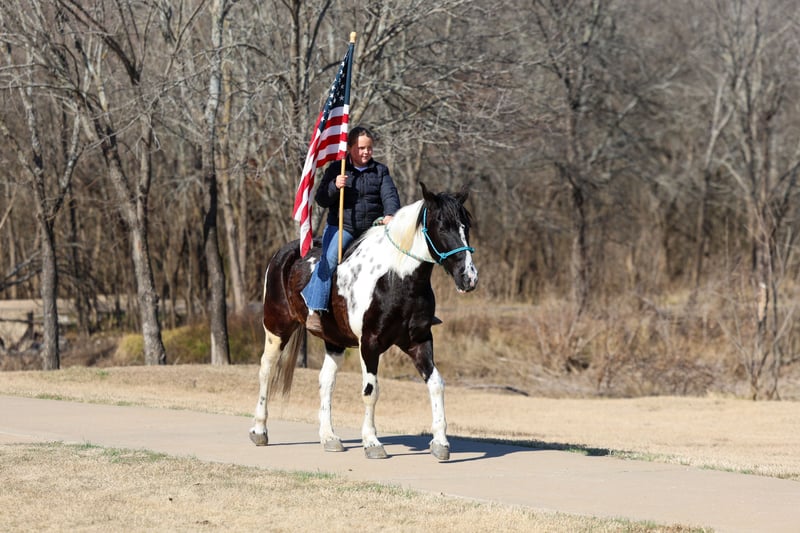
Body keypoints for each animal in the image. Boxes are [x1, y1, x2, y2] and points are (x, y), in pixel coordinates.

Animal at [248, 182, 478, 460]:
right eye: (442, 226)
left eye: (466, 226)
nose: (469, 277)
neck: (396, 278)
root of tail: (285, 253)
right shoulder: (369, 343)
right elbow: (371, 390)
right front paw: (372, 442)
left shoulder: (419, 341)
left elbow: (436, 384)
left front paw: (441, 443)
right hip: (277, 328)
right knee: (266, 371)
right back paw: (259, 430)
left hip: (333, 341)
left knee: (326, 381)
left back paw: (329, 437)